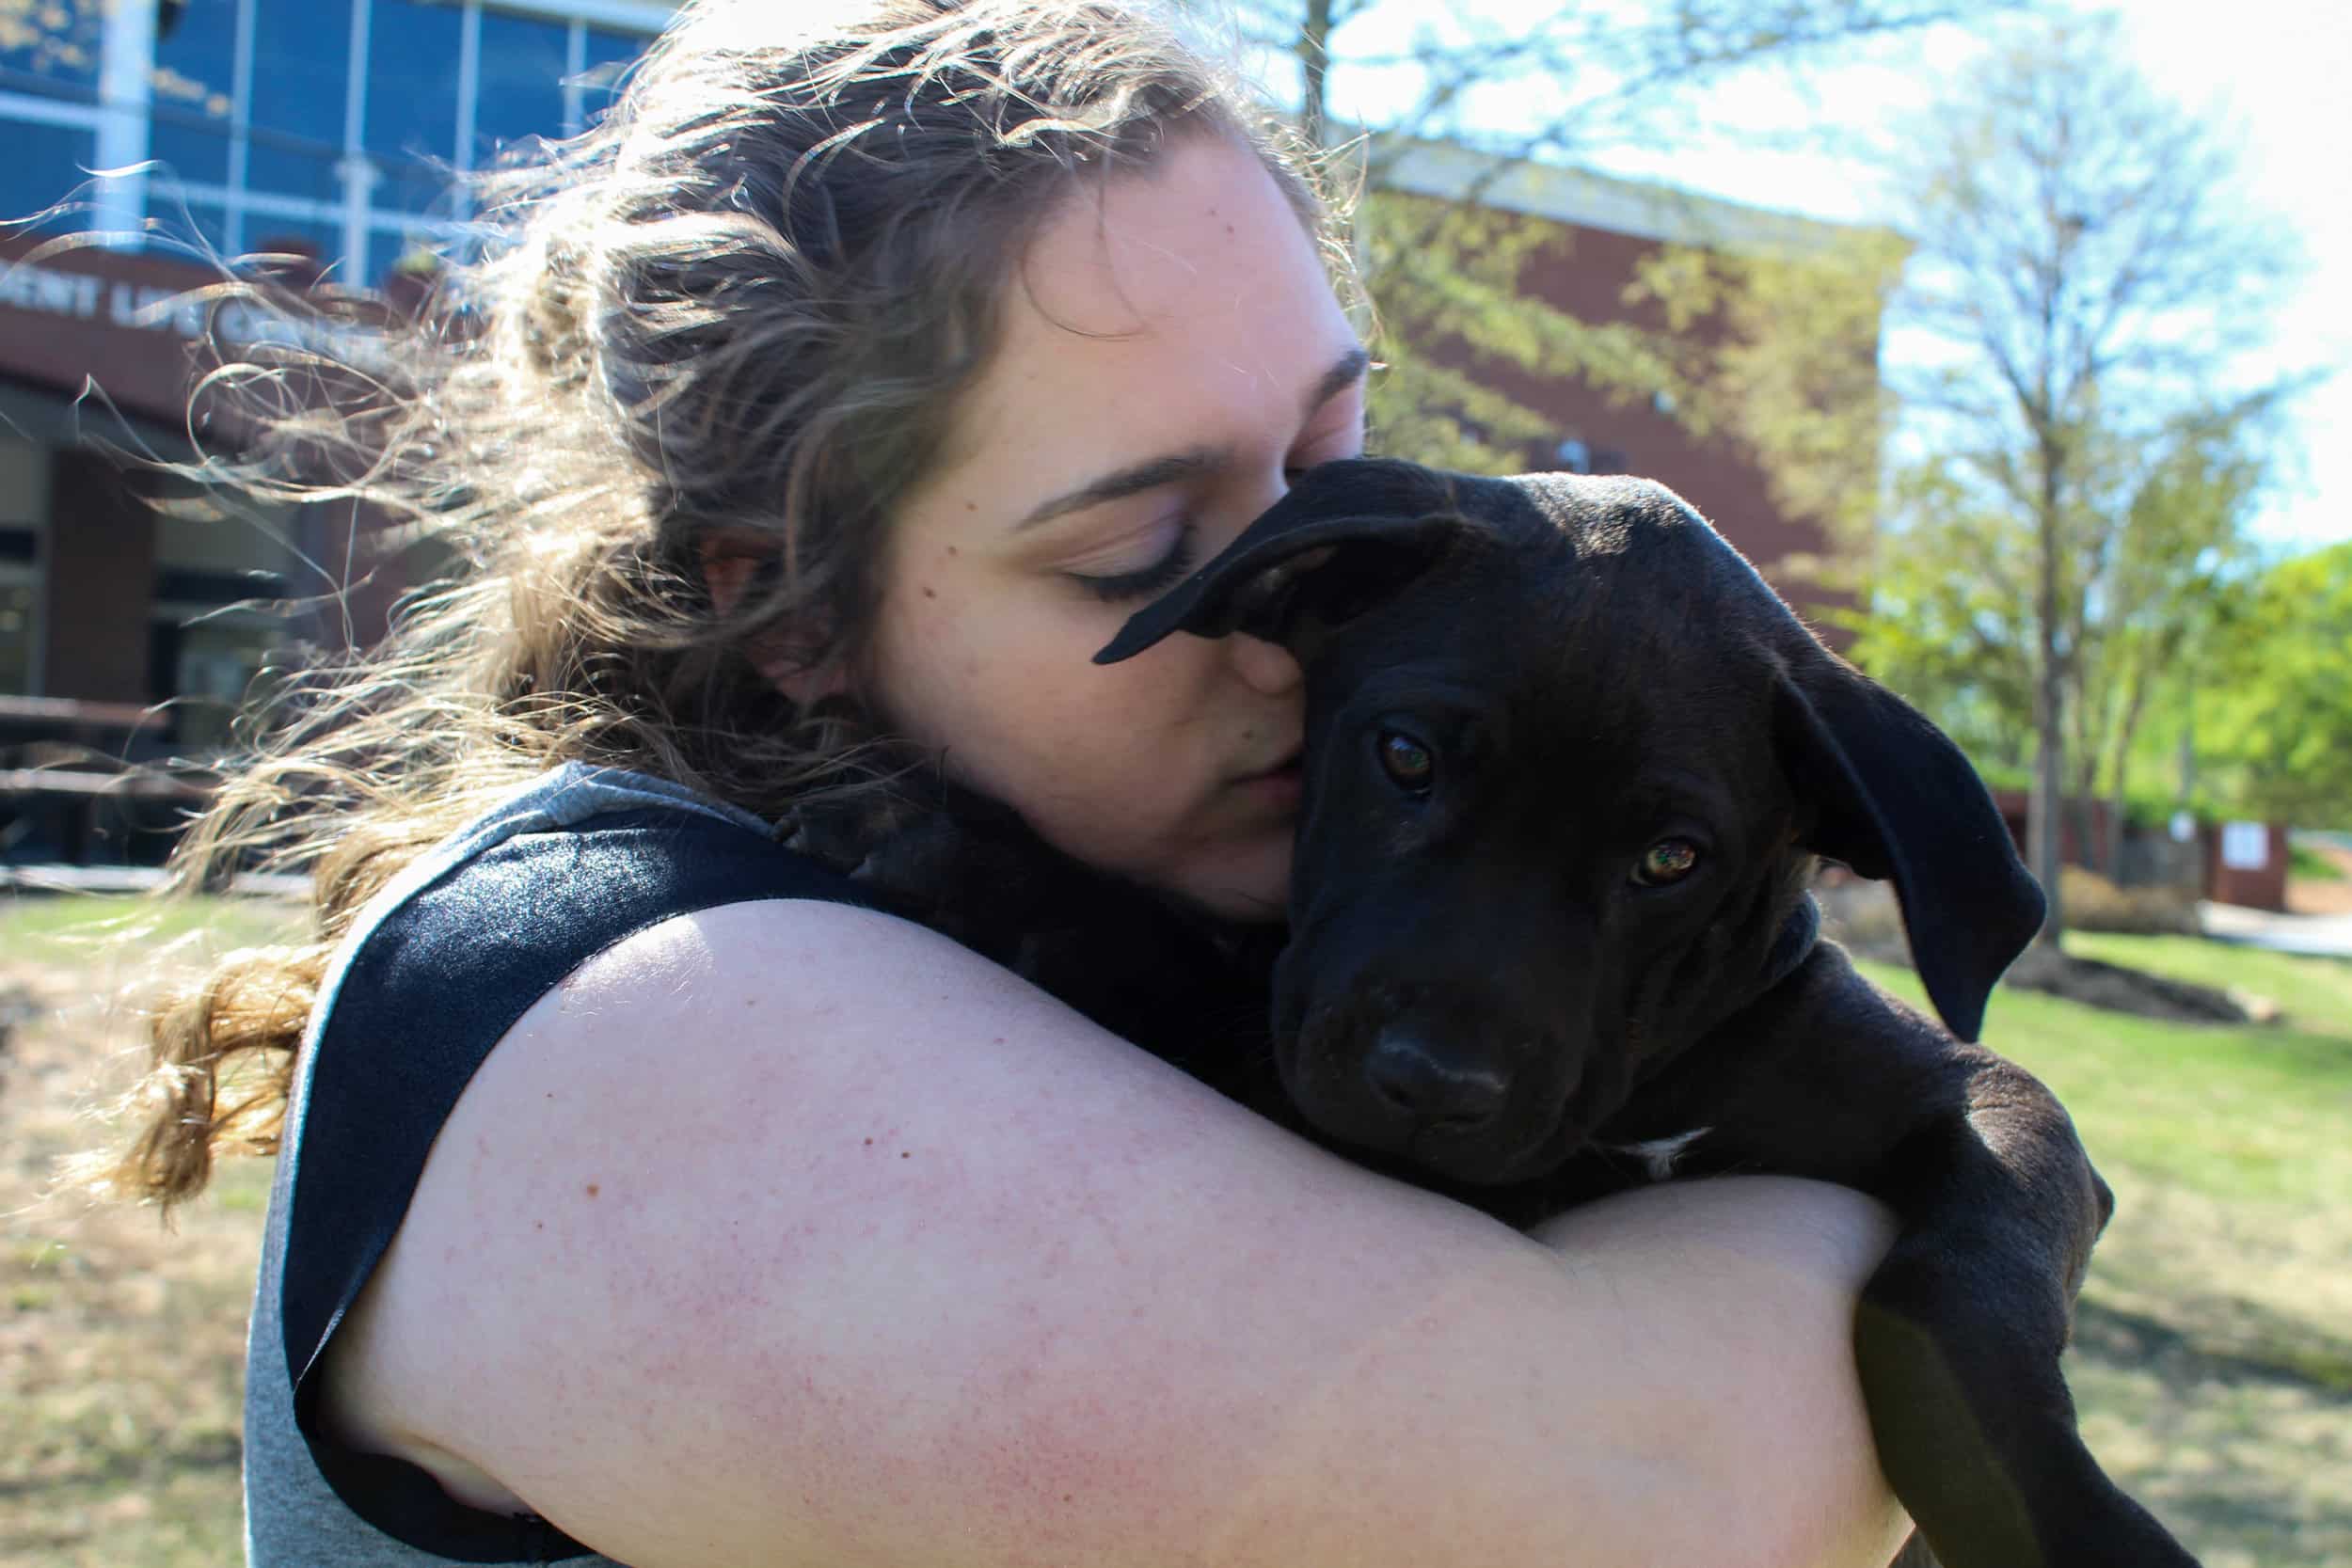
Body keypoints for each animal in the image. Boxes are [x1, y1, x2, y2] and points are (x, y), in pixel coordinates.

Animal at [1091, 460, 2211, 1568]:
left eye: (1671, 858)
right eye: (1405, 756)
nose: (1431, 1085)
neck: (1649, 1094)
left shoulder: (1993, 1097)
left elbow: (1940, 1295)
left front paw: (2077, 1529)